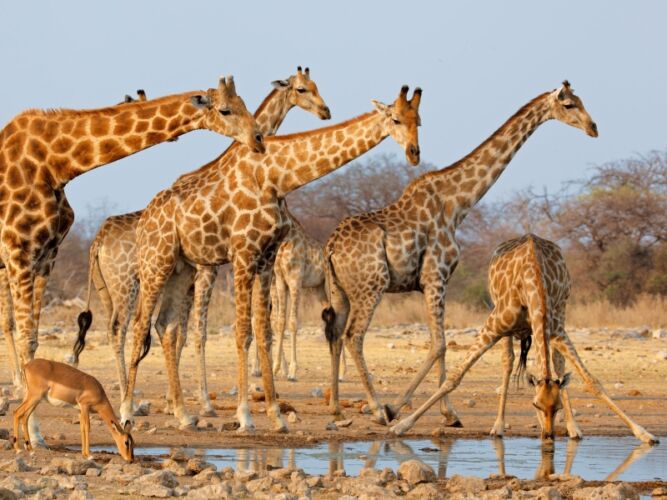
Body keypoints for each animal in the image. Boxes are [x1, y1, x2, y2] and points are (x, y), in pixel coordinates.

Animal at [0, 75, 263, 444]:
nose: (258, 138)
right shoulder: (19, 252)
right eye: (225, 109)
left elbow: (33, 338)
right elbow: (26, 338)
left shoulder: (46, 257)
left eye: (245, 104)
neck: (55, 163)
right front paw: (34, 433)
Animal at [71, 67, 331, 416]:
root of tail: (97, 240)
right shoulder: (208, 271)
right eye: (302, 89)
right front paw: (203, 402)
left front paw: (178, 401)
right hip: (128, 283)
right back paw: (129, 400)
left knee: (118, 329)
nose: (325, 111)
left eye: (316, 86)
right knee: (121, 329)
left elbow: (178, 332)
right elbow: (196, 333)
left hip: (107, 288)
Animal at [119, 85, 423, 431]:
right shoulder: (243, 255)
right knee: (141, 325)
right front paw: (244, 415)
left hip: (181, 269)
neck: (276, 177)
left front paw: (276, 415)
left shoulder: (266, 260)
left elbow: (264, 331)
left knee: (166, 327)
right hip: (156, 262)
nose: (414, 153)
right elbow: (243, 332)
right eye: (395, 119)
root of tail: (145, 217)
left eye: (419, 121)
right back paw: (127, 411)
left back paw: (184, 414)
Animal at [322, 81, 598, 426]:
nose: (593, 128)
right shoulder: (435, 277)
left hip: (340, 290)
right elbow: (440, 344)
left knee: (335, 334)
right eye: (570, 105)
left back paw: (335, 407)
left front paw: (445, 412)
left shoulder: (433, 283)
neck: (456, 203)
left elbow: (439, 344)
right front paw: (407, 409)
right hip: (371, 287)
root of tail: (330, 247)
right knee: (353, 336)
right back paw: (376, 408)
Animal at [390, 234, 659, 445]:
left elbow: (591, 381)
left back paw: (572, 428)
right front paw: (401, 425)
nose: (549, 435)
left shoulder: (557, 330)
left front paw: (644, 433)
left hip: (561, 313)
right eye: (535, 405)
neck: (533, 285)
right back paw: (498, 426)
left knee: (554, 364)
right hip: (504, 324)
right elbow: (455, 376)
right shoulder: (493, 326)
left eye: (556, 407)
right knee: (508, 362)